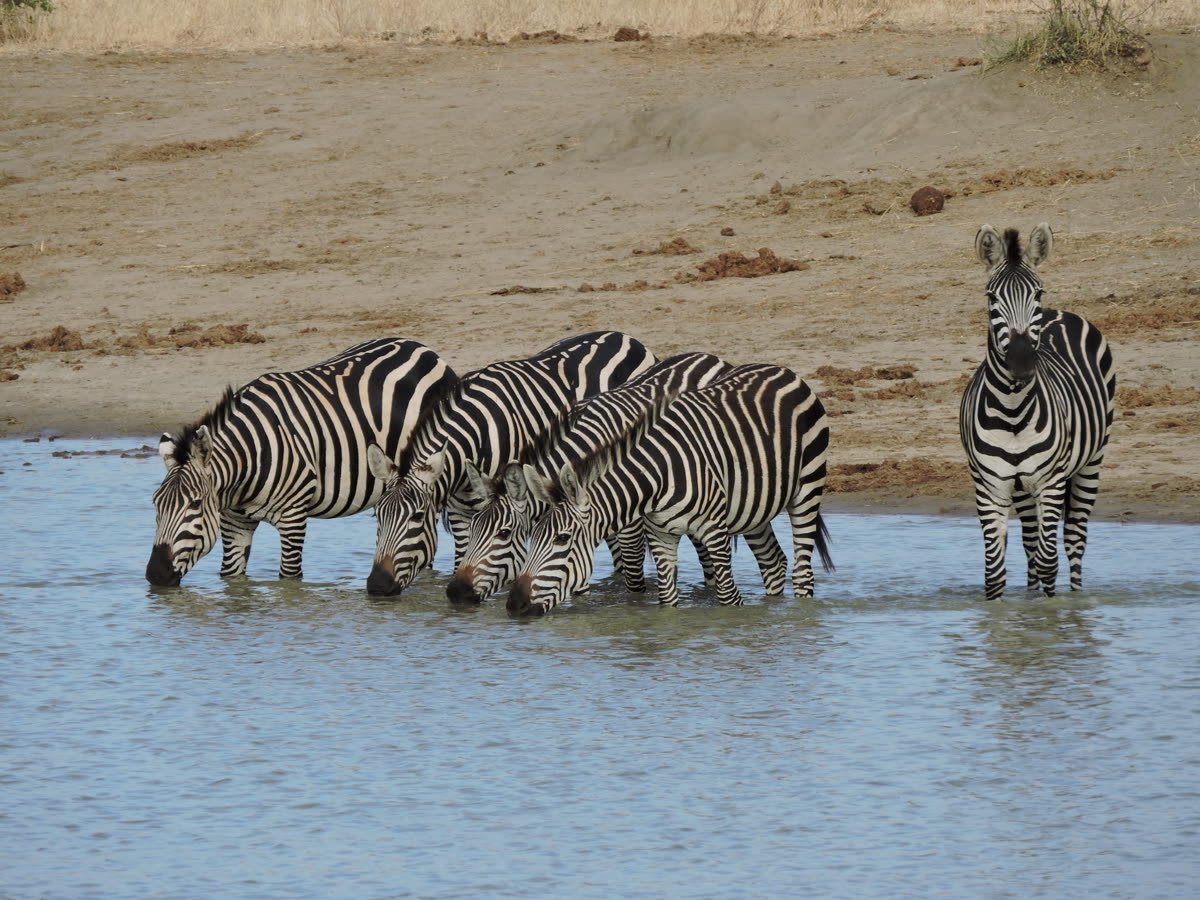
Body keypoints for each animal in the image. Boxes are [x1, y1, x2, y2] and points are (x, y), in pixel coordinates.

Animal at [146, 338, 456, 586]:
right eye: (156, 504)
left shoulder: (293, 518)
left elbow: (289, 580)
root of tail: (425, 350)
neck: (246, 467)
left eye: (195, 504)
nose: (155, 576)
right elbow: (232, 577)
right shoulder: (234, 522)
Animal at [364, 331, 655, 596]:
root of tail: (625, 337)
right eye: (378, 517)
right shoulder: (461, 514)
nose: (377, 586)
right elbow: (466, 561)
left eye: (416, 516)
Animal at [444, 351, 791, 604]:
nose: (455, 593)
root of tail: (710, 357)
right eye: (473, 528)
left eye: (503, 534)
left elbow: (633, 578)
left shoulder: (631, 523)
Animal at [507, 363, 833, 615]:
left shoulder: (714, 532)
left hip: (807, 488)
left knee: (802, 573)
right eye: (532, 536)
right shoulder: (660, 535)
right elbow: (667, 600)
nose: (514, 605)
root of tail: (784, 371)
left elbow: (728, 597)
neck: (656, 478)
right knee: (773, 563)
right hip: (753, 507)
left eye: (562, 539)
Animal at [959, 223, 1116, 600]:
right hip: (1021, 487)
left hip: (1092, 460)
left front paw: (1050, 611)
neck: (1013, 412)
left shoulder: (1051, 482)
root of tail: (1061, 312)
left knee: (1073, 540)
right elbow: (995, 572)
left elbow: (1049, 562)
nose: (1021, 360)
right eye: (991, 297)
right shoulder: (989, 486)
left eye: (1037, 294)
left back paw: (1076, 598)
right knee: (1031, 543)